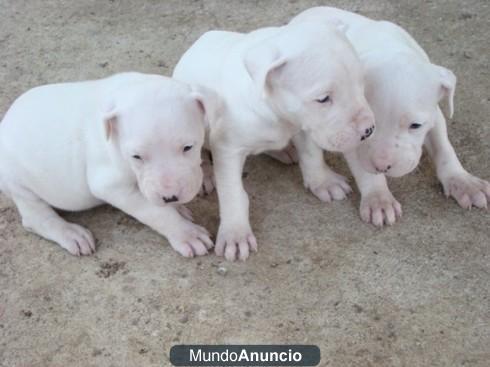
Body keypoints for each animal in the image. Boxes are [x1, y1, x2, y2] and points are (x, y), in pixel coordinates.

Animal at [0, 73, 217, 258]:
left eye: (188, 147)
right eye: (136, 156)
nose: (170, 197)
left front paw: (178, 208)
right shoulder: (110, 186)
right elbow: (155, 211)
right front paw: (186, 233)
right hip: (17, 183)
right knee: (35, 216)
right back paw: (70, 233)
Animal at [175, 20, 376, 262]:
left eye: (361, 83)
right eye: (323, 99)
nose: (368, 130)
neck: (276, 112)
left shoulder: (303, 124)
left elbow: (311, 155)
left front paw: (323, 182)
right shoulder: (227, 149)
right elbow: (232, 193)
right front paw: (235, 233)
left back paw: (283, 151)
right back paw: (204, 174)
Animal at [290, 7, 490, 227]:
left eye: (416, 125)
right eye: (369, 128)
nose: (382, 166)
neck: (386, 46)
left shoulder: (435, 116)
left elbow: (444, 148)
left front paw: (464, 182)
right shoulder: (349, 131)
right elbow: (365, 170)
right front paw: (379, 199)